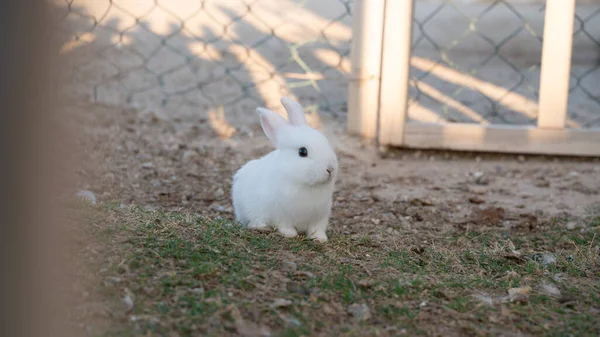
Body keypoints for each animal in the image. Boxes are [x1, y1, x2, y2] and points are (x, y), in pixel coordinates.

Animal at [231, 96, 338, 240]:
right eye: (302, 152)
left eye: (326, 142)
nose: (330, 169)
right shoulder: (281, 215)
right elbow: (285, 225)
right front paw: (290, 234)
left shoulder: (319, 217)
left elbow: (316, 229)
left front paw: (320, 239)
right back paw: (261, 227)